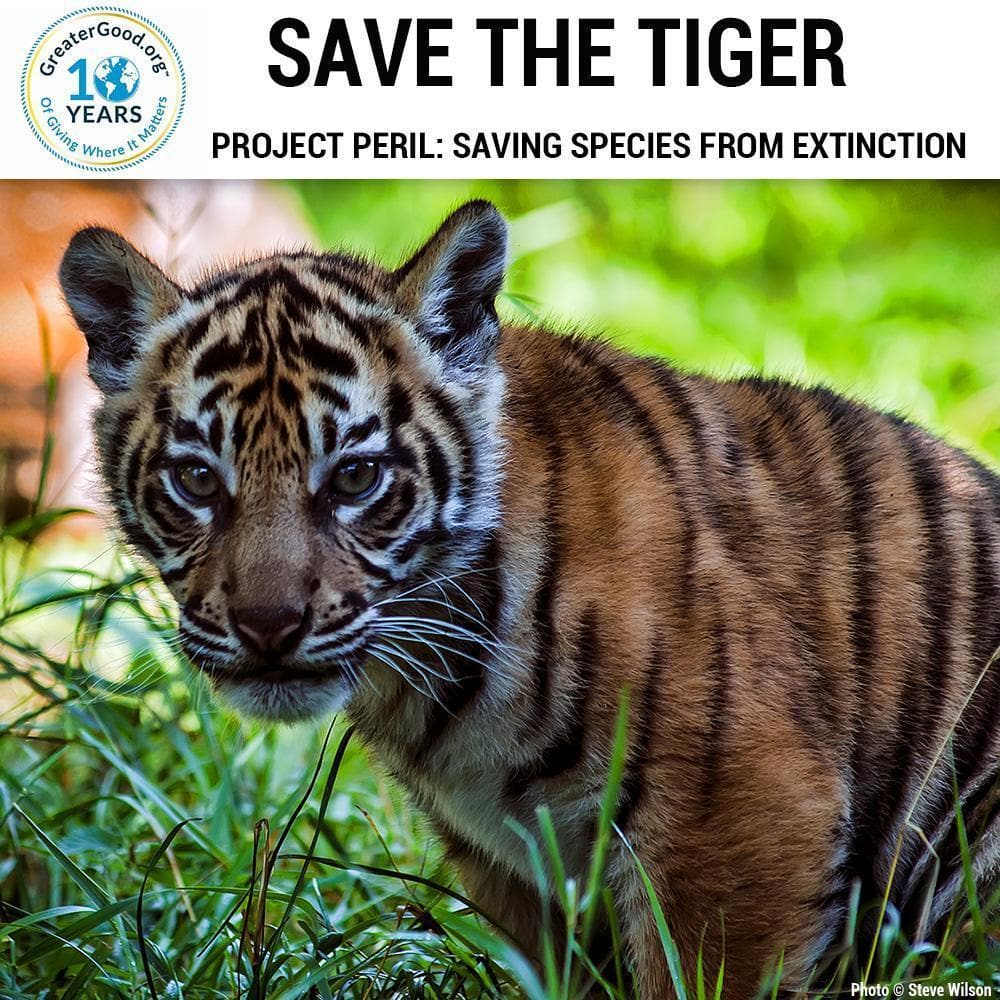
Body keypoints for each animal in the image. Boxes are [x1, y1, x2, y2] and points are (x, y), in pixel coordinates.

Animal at [58, 199, 1000, 998]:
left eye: (357, 478)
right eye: (196, 480)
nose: (267, 627)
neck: (435, 683)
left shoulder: (743, 815)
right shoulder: (513, 865)